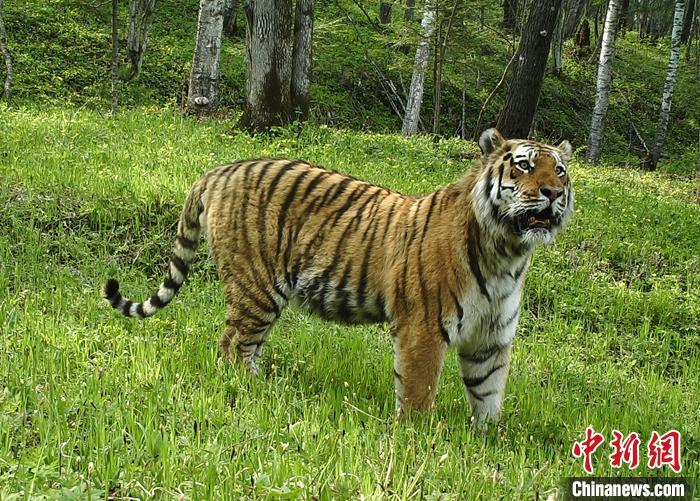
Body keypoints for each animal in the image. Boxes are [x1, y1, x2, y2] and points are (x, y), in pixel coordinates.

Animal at [103, 128, 573, 427]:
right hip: (257, 289)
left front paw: (488, 439)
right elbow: (419, 391)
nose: (552, 193)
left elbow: (488, 393)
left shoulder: (491, 337)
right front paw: (415, 437)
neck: (507, 254)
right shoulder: (423, 328)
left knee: (242, 346)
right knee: (233, 345)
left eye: (560, 171)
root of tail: (220, 170)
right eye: (524, 166)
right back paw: (259, 391)